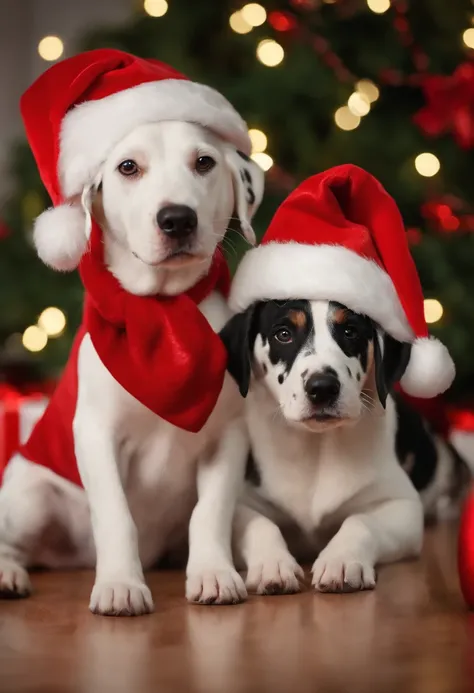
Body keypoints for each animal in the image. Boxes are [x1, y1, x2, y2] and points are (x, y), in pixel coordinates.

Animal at [0, 121, 262, 612]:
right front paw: (121, 584)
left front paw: (214, 573)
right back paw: (8, 574)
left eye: (204, 162)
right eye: (127, 167)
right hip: (31, 499)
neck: (163, 312)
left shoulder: (228, 437)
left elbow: (210, 512)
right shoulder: (97, 434)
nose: (177, 219)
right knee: (11, 544)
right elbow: (115, 515)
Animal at [220, 300, 442, 592]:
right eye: (283, 334)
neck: (316, 447)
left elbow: (360, 521)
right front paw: (272, 563)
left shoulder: (403, 506)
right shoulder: (242, 503)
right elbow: (261, 524)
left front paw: (342, 559)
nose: (323, 387)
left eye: (350, 331)